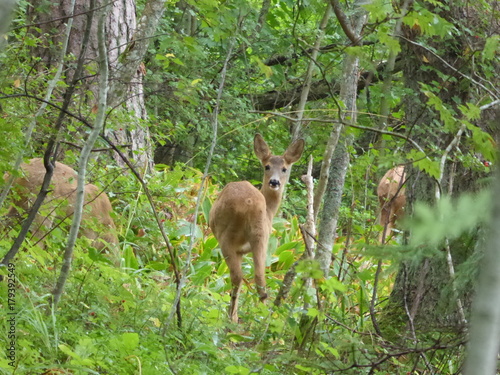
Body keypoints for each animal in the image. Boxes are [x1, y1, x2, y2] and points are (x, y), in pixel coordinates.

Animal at [208, 135, 304, 324]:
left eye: (284, 169)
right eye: (267, 166)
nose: (274, 182)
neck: (270, 211)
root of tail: (249, 204)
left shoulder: (238, 249)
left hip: (227, 237)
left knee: (237, 277)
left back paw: (233, 319)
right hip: (261, 236)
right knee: (260, 278)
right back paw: (262, 318)